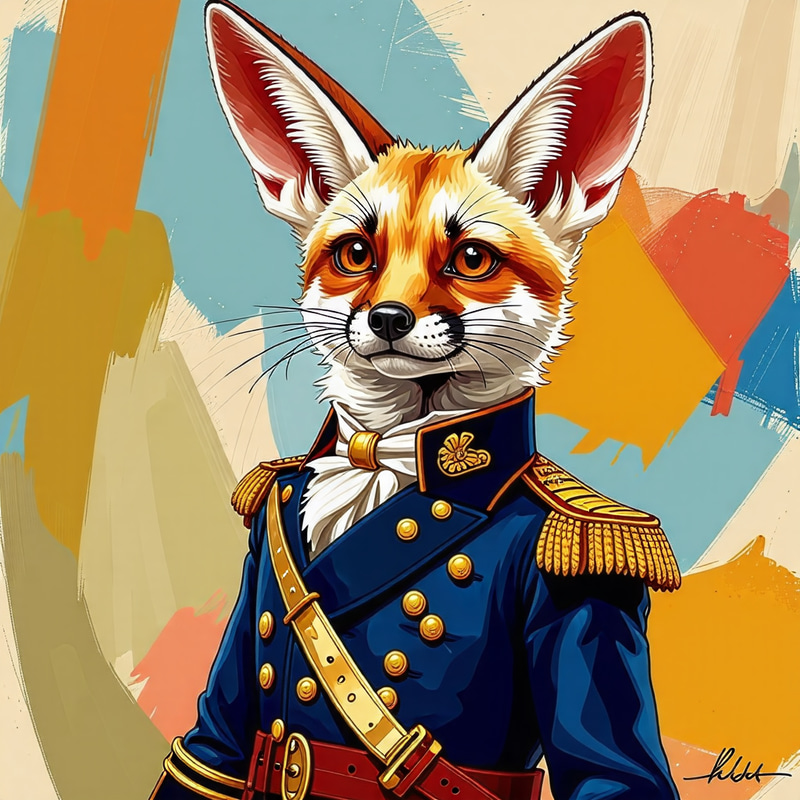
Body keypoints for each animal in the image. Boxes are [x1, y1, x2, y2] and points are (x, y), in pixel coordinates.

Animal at [147, 4, 680, 800]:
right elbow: (212, 743)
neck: (385, 460)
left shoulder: (587, 596)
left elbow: (612, 770)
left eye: (471, 259)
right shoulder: (247, 631)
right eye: (356, 255)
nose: (388, 319)